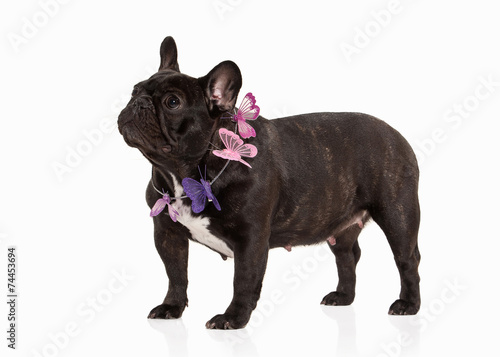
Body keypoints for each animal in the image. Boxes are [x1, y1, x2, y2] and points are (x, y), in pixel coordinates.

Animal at [118, 36, 422, 328]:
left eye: (172, 102)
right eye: (134, 90)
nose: (138, 102)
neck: (182, 172)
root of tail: (396, 134)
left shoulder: (250, 239)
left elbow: (243, 280)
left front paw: (233, 319)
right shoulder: (167, 233)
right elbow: (176, 274)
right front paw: (172, 307)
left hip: (397, 215)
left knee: (407, 260)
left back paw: (408, 304)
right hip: (342, 224)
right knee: (348, 255)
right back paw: (343, 297)